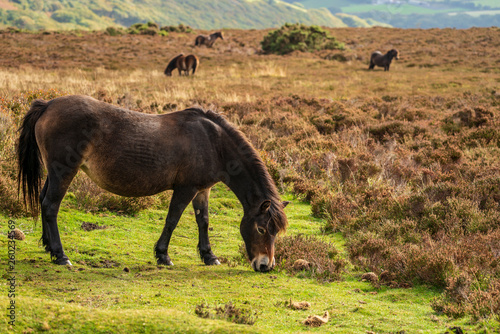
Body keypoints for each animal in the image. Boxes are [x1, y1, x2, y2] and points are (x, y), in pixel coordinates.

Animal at [16, 94, 290, 272]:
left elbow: (203, 221)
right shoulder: (186, 189)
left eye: (276, 232)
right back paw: (61, 256)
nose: (265, 266)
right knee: (51, 206)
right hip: (64, 171)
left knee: (43, 201)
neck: (213, 142)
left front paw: (209, 256)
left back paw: (48, 248)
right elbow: (172, 220)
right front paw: (163, 256)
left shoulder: (203, 190)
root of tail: (48, 104)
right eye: (262, 229)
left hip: (54, 172)